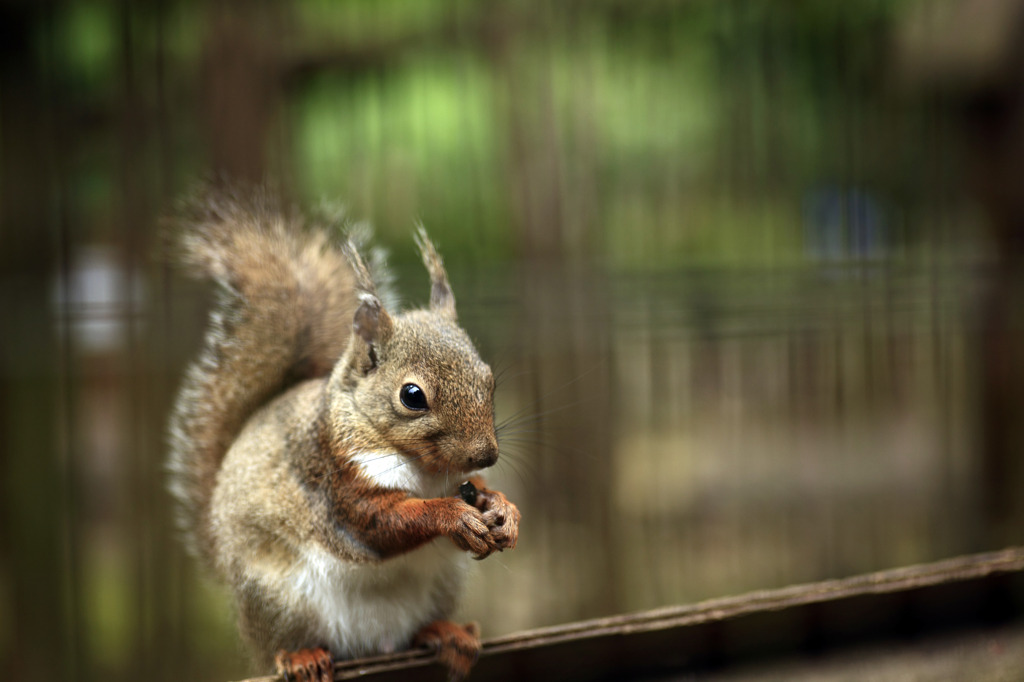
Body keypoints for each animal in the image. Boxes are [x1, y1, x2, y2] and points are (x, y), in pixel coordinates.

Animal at [167, 187, 524, 679]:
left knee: (421, 628)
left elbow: (478, 491)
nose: (485, 455)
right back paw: (302, 658)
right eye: (412, 396)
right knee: (287, 641)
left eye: (489, 379)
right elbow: (382, 522)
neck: (425, 469)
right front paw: (453, 516)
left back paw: (448, 635)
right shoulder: (334, 480)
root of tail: (372, 645)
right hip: (276, 598)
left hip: (441, 587)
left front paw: (504, 511)